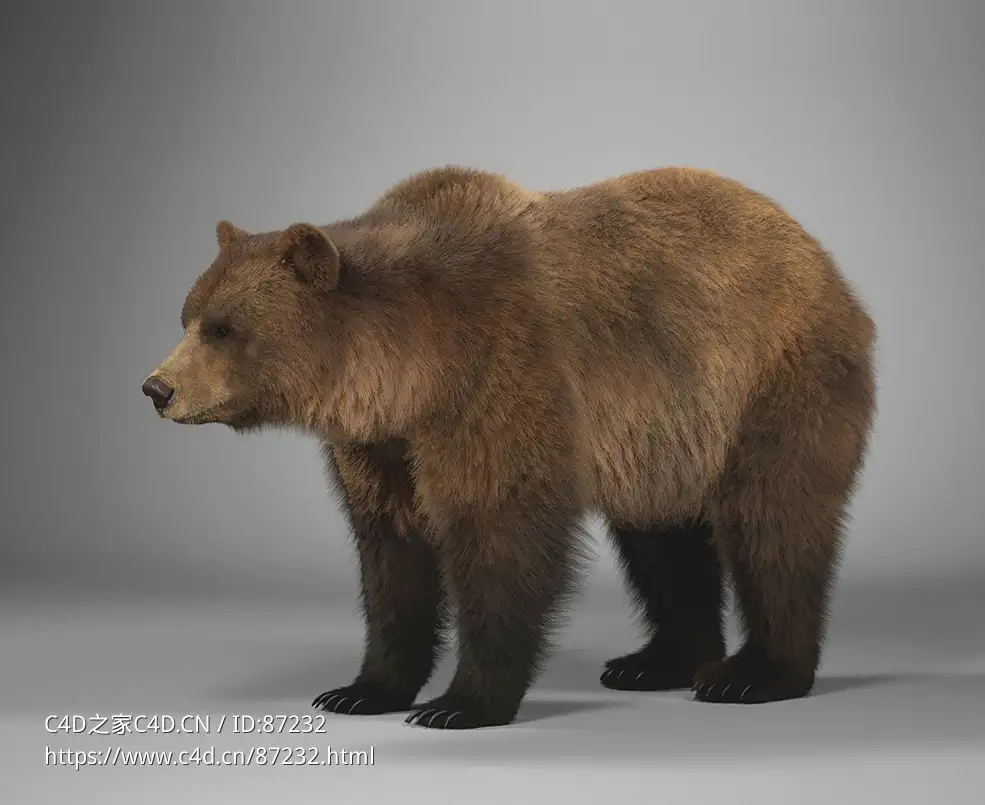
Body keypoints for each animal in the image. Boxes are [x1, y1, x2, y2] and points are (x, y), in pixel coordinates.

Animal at [142, 164, 877, 730]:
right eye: (186, 315)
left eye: (223, 327)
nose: (156, 387)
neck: (406, 367)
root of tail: (820, 257)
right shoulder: (382, 443)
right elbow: (389, 554)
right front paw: (360, 688)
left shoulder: (498, 377)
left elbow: (500, 536)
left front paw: (459, 703)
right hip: (664, 434)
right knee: (659, 535)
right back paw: (654, 661)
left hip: (772, 380)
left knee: (773, 519)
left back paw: (751, 674)